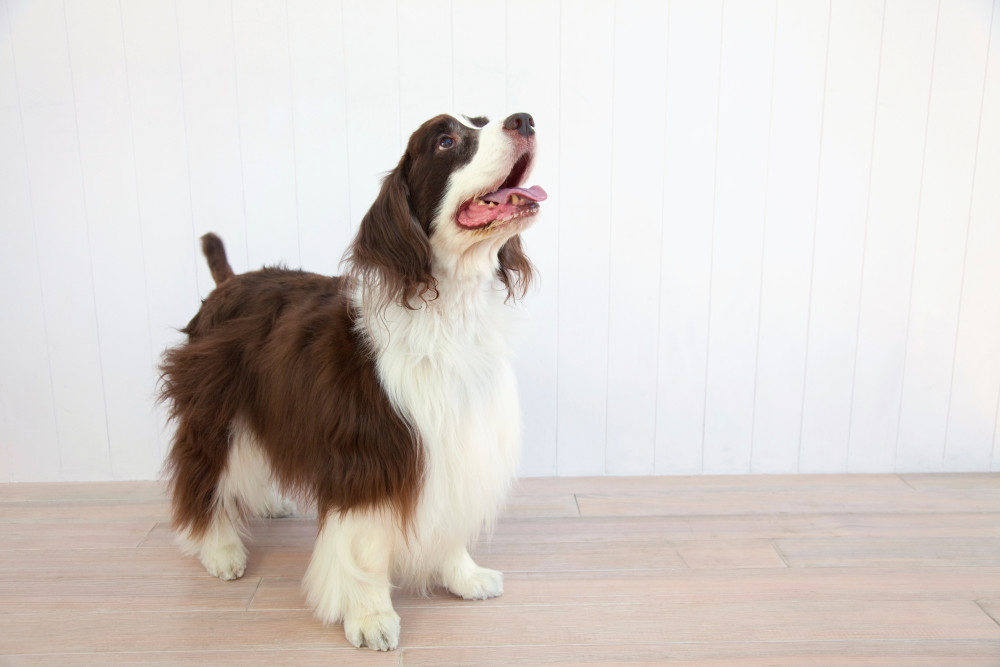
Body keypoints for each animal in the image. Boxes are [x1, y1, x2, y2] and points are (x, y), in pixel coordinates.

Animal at [158, 113, 548, 652]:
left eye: (484, 119)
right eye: (446, 141)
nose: (524, 120)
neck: (447, 309)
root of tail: (227, 282)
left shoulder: (455, 441)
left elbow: (450, 521)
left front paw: (464, 577)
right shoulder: (370, 454)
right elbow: (364, 548)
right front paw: (370, 617)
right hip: (213, 404)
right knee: (203, 472)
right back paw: (219, 549)